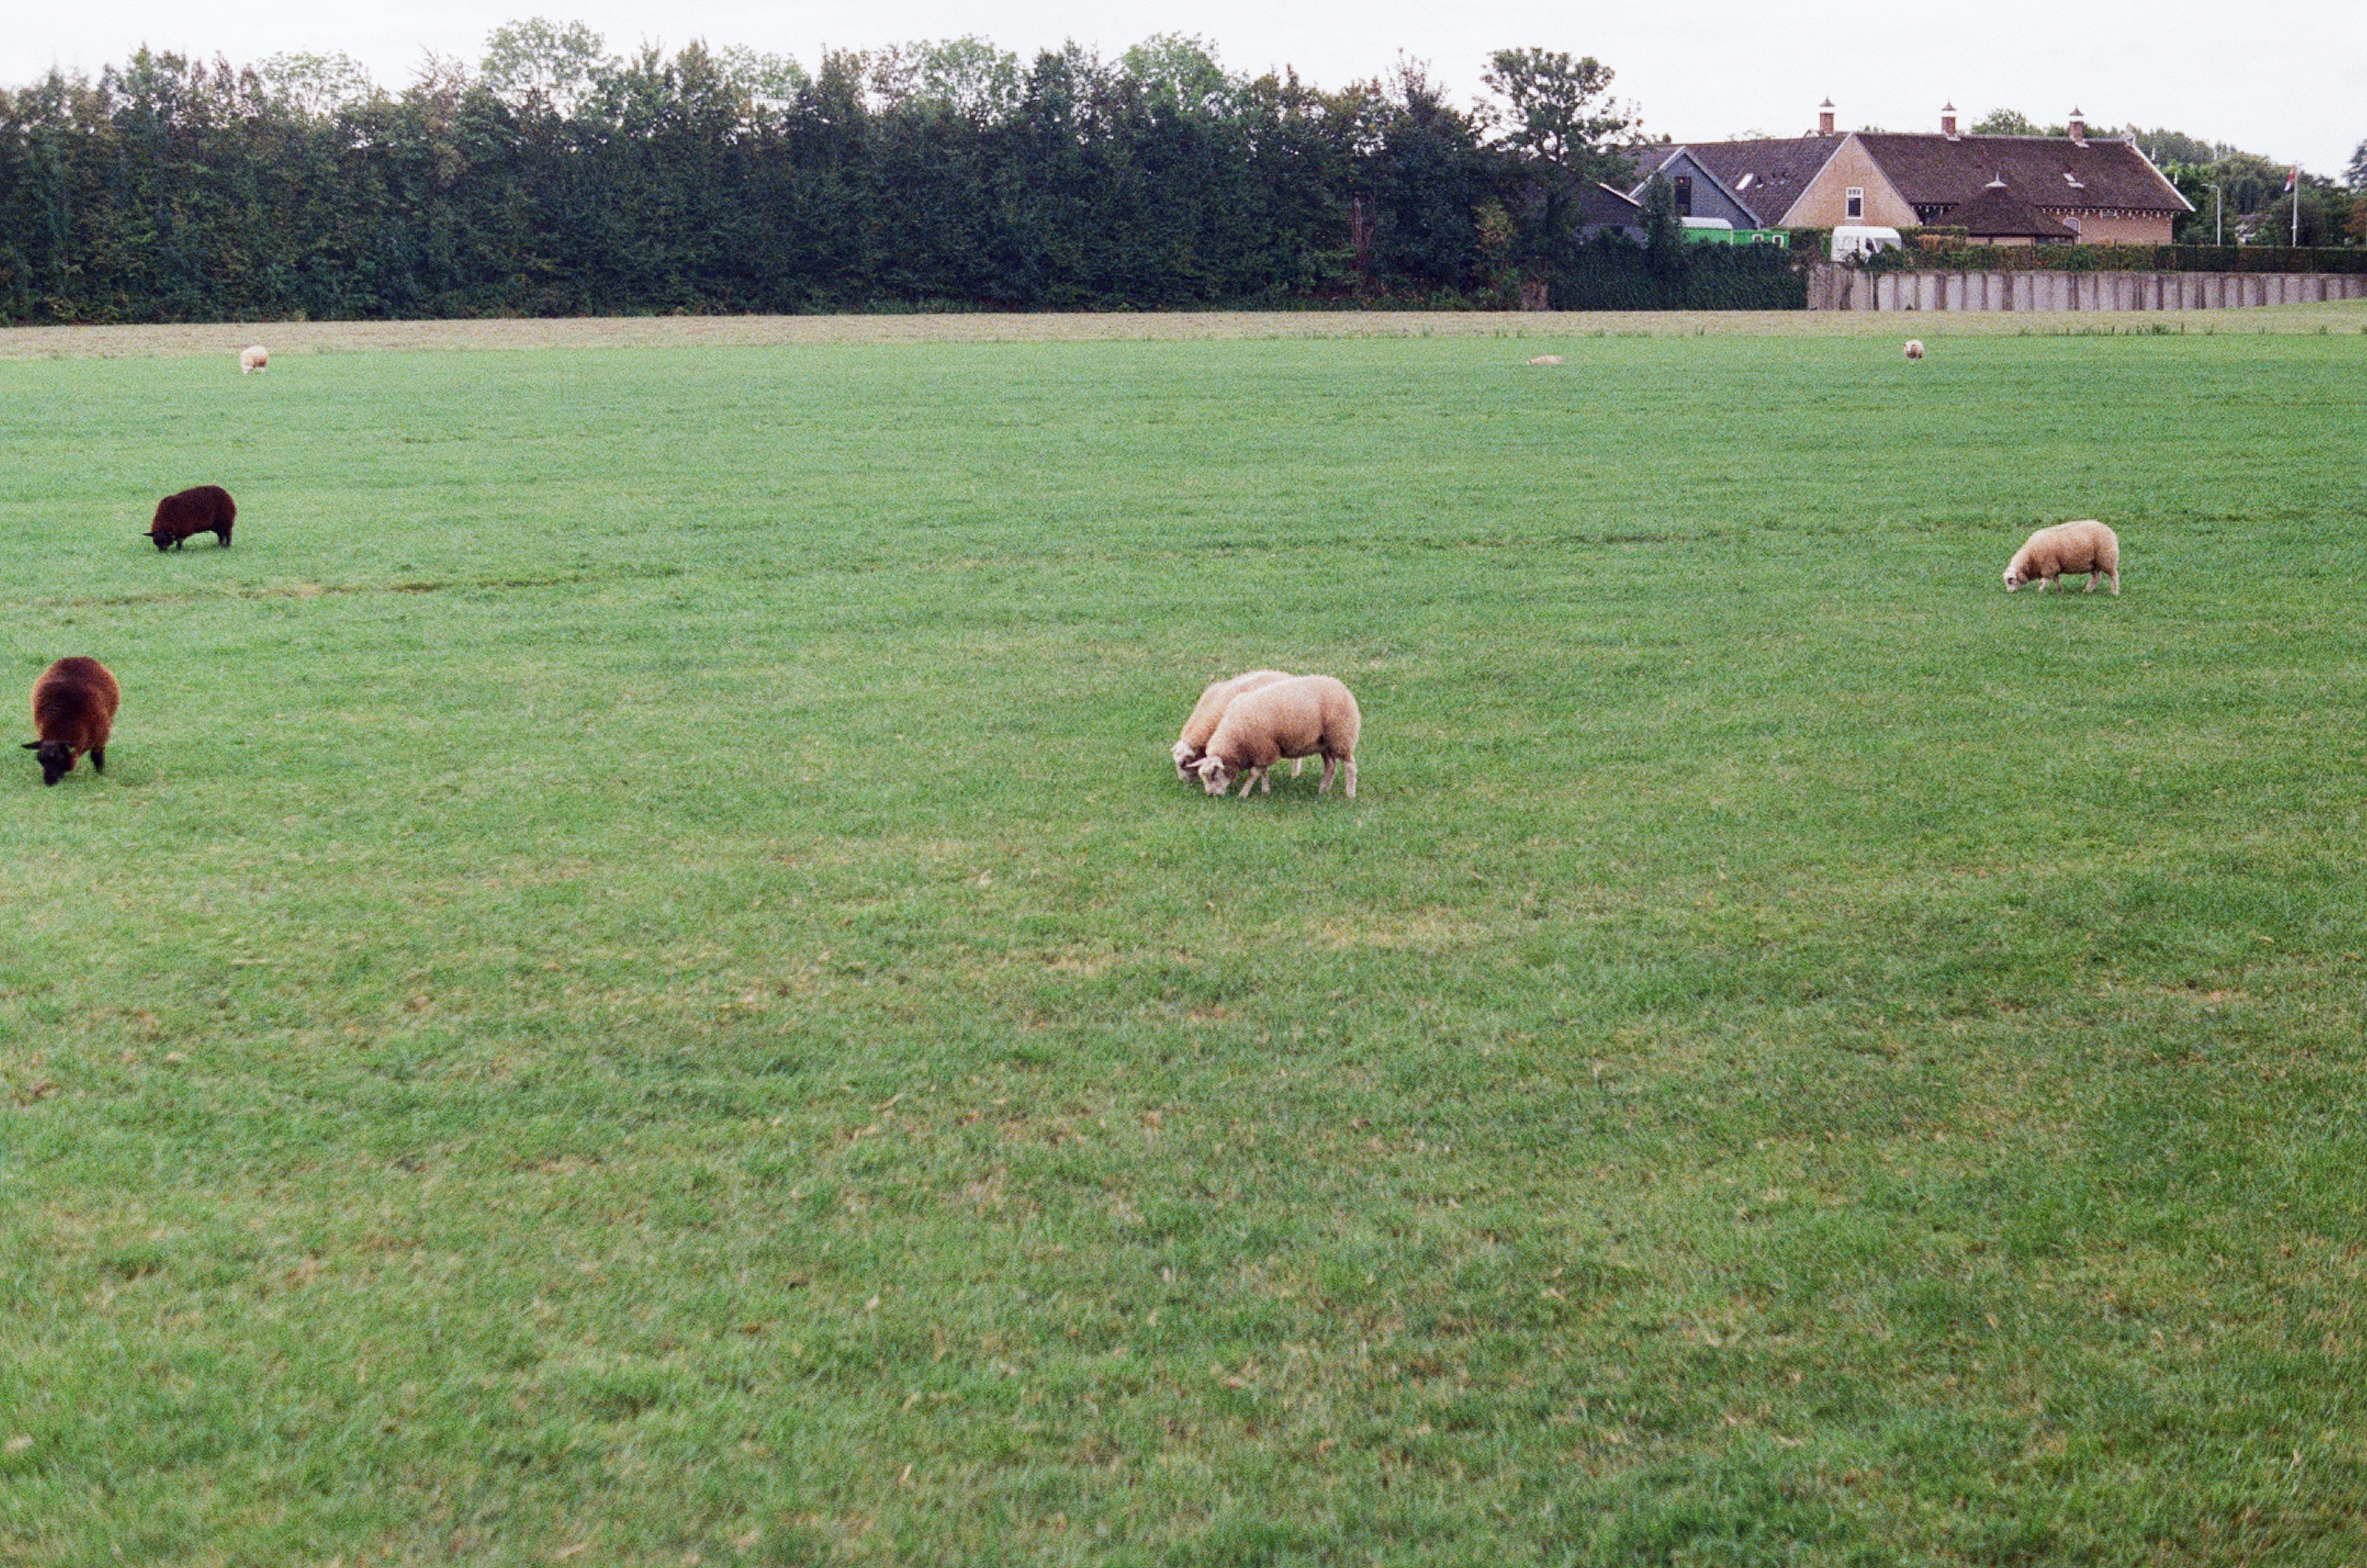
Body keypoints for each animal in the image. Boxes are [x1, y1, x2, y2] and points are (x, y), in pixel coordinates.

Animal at [23, 657, 120, 787]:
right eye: (40, 760)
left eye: (58, 758)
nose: (49, 782)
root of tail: (78, 658)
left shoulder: (101, 736)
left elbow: (97, 756)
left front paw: (101, 773)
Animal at [1193, 675, 1360, 801]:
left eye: (1213, 775)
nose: (1211, 795)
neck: (1235, 740)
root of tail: (1342, 686)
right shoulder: (1263, 751)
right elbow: (1264, 771)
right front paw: (1265, 791)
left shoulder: (1263, 749)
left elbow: (1254, 773)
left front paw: (1243, 794)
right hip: (1324, 743)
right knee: (1331, 765)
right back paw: (1323, 790)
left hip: (1341, 736)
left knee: (1350, 765)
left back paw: (1350, 793)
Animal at [2004, 520, 2120, 595]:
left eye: (2010, 580)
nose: (2009, 592)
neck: (2030, 558)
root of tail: (2110, 531)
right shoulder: (2055, 566)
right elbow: (2056, 580)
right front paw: (2059, 591)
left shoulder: (2048, 566)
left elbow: (2044, 581)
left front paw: (2039, 591)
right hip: (2095, 563)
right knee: (2096, 578)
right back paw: (2087, 591)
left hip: (2107, 558)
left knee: (2113, 575)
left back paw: (2115, 592)